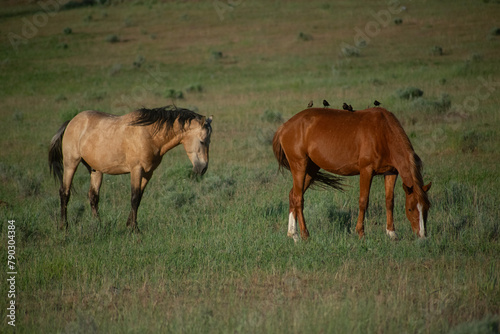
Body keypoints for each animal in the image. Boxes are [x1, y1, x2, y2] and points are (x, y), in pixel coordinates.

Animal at [50, 105, 213, 231]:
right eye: (202, 141)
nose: (203, 168)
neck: (149, 135)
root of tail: (71, 121)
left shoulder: (148, 172)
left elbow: (139, 198)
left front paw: (129, 225)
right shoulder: (136, 170)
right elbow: (134, 198)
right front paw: (134, 229)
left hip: (95, 170)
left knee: (93, 196)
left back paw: (98, 225)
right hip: (70, 164)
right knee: (64, 193)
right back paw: (64, 226)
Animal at [272, 108, 432, 241]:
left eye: (427, 207)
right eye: (410, 209)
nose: (422, 236)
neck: (383, 132)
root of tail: (284, 127)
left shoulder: (391, 173)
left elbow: (389, 201)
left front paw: (392, 233)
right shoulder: (366, 171)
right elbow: (363, 201)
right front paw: (360, 233)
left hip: (311, 169)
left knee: (293, 195)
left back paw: (293, 234)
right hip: (299, 166)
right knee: (298, 199)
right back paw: (305, 234)